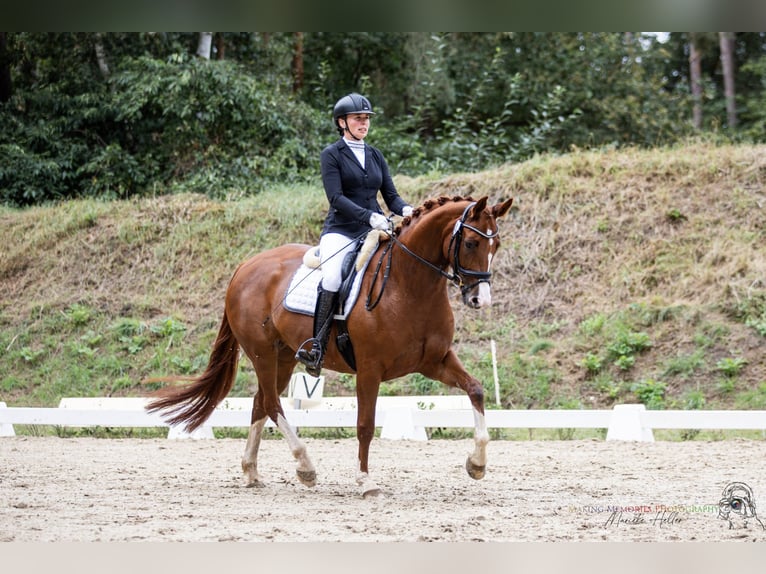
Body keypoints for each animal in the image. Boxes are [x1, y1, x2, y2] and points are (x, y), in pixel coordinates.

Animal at [144, 196, 516, 498]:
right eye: (471, 242)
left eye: (496, 245)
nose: (480, 299)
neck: (409, 285)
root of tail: (246, 266)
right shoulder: (369, 369)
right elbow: (365, 425)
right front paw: (366, 482)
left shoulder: (435, 361)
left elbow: (476, 390)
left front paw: (477, 464)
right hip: (262, 353)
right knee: (272, 404)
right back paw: (305, 467)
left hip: (283, 357)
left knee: (260, 403)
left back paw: (251, 472)